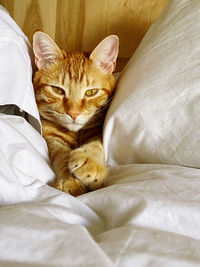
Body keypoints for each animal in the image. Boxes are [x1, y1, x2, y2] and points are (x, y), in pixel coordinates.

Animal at [32, 32, 118, 198]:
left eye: (91, 92)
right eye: (57, 90)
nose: (74, 113)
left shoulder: (96, 131)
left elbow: (97, 146)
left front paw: (90, 163)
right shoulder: (51, 137)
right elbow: (61, 154)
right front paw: (71, 183)